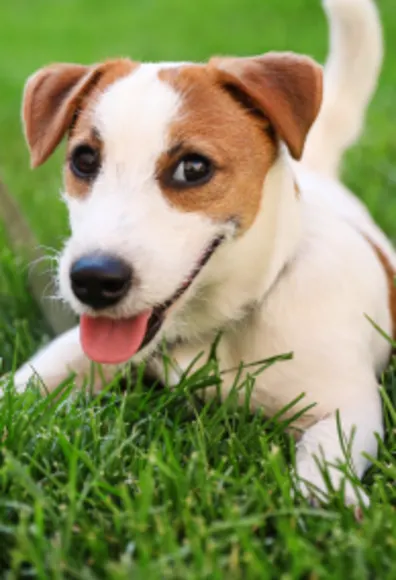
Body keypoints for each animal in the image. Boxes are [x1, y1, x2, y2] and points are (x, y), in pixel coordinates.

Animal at [10, 0, 392, 502]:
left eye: (193, 168)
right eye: (84, 160)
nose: (92, 280)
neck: (224, 323)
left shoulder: (348, 404)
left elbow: (327, 451)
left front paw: (326, 498)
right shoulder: (76, 349)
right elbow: (26, 382)